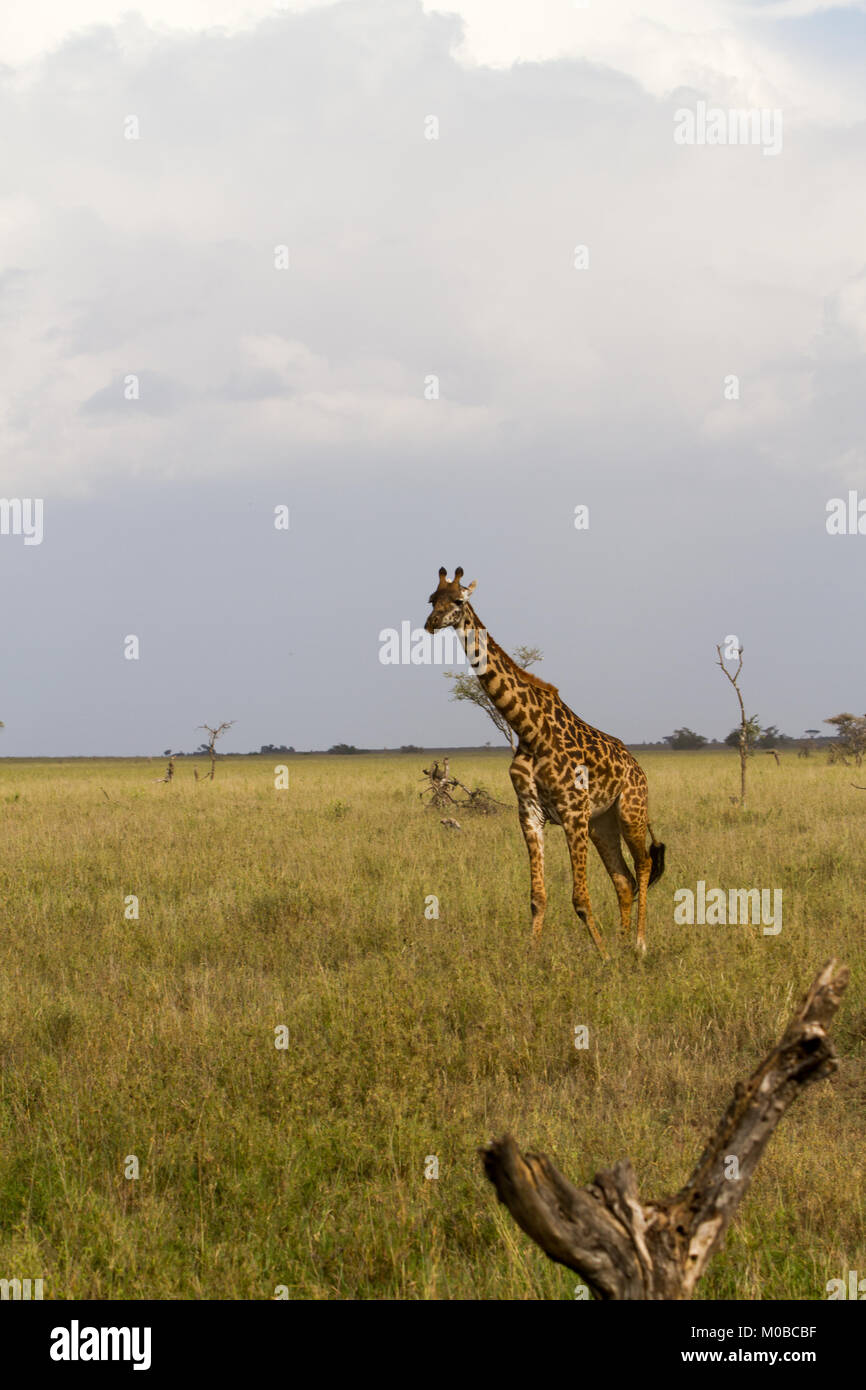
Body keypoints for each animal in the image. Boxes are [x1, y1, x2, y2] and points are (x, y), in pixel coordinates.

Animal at [425, 567, 664, 956]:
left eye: (458, 600)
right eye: (432, 599)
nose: (431, 623)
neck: (530, 730)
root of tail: (637, 767)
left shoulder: (573, 812)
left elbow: (579, 898)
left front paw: (603, 955)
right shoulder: (531, 814)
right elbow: (537, 897)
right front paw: (532, 955)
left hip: (631, 810)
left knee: (642, 865)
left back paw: (639, 944)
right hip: (602, 823)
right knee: (623, 878)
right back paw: (623, 939)